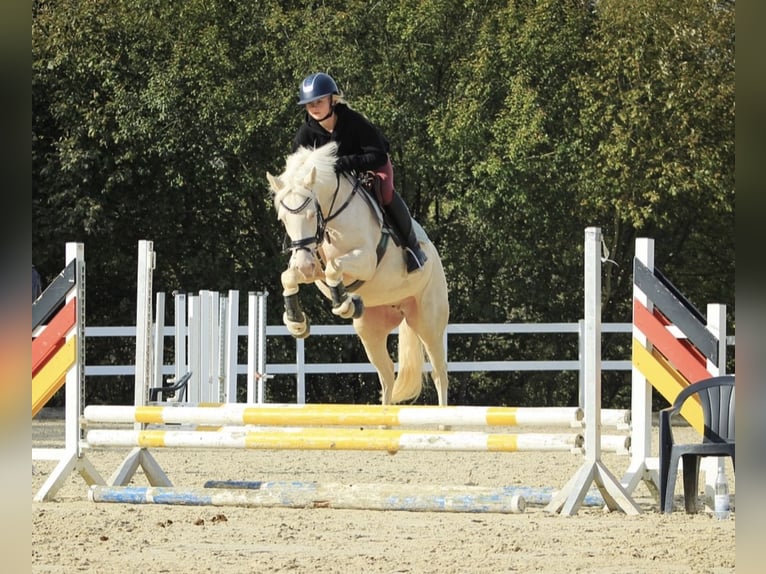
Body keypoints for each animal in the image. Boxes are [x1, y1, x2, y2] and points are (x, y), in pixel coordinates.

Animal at [268, 142, 450, 408]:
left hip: (428, 323)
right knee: (387, 376)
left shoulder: (365, 261)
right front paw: (297, 321)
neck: (332, 218)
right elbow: (288, 277)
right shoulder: (312, 267)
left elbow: (334, 268)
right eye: (283, 219)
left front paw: (343, 304)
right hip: (370, 331)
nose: (304, 267)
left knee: (439, 374)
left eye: (311, 214)